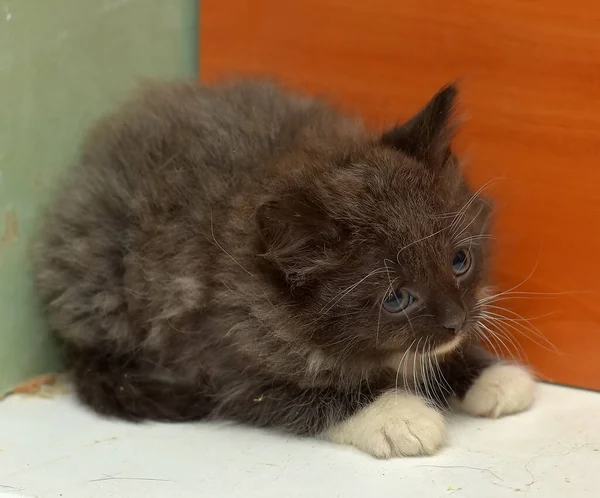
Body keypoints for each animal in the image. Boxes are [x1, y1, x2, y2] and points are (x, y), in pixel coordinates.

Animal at [32, 80, 536, 458]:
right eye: (397, 298)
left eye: (459, 261)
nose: (456, 321)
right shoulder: (223, 361)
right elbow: (309, 394)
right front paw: (398, 415)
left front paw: (487, 375)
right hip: (101, 283)